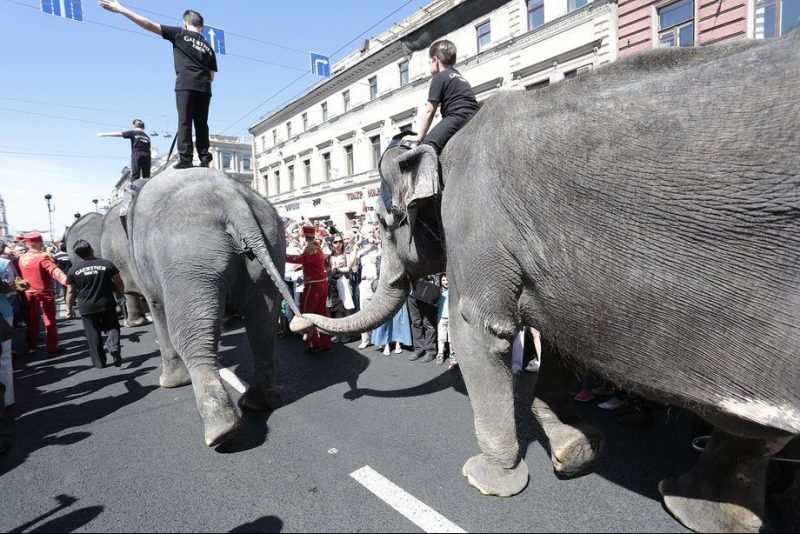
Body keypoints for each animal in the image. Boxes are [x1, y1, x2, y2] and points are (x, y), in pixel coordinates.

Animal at [108, 170, 302, 446]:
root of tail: (234, 202)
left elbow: (156, 307)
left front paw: (169, 384)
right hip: (271, 249)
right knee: (262, 327)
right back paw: (259, 404)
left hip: (190, 262)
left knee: (191, 336)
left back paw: (221, 431)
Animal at [292, 31, 800, 532]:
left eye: (381, 222)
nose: (298, 323)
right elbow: (558, 340)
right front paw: (576, 452)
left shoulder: (479, 225)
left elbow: (480, 331)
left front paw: (487, 478)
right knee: (752, 433)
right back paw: (695, 509)